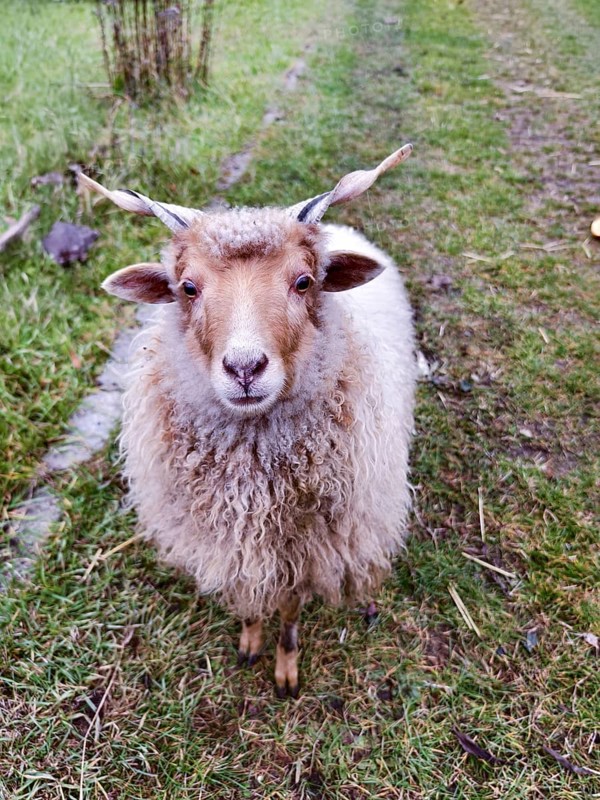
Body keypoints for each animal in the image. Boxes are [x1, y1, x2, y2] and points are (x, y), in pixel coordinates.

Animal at [80, 144, 416, 697]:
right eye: (187, 287)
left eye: (304, 281)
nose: (244, 368)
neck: (252, 477)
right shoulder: (233, 544)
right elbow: (249, 599)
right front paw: (249, 640)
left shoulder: (305, 550)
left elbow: (290, 608)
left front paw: (285, 667)